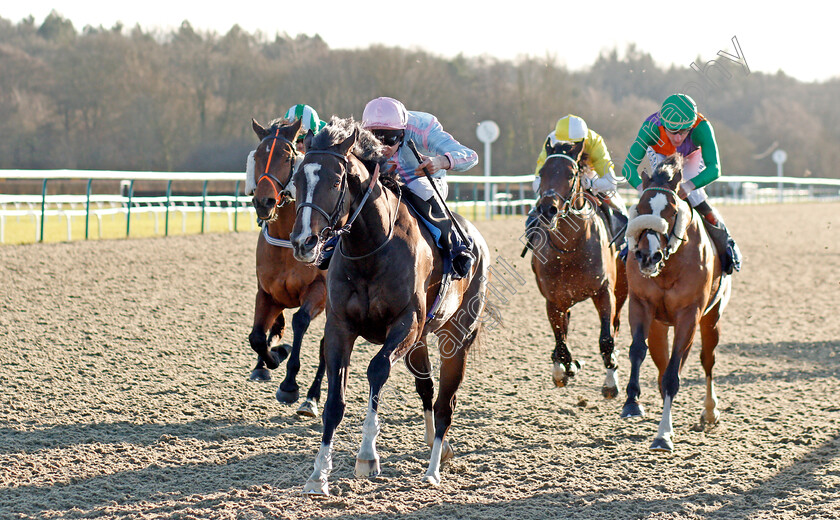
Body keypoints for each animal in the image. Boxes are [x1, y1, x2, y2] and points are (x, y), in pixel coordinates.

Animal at [244, 119, 326, 418]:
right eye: (257, 155)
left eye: (287, 157)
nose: (264, 201)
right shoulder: (267, 292)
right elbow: (257, 336)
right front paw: (272, 358)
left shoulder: (320, 290)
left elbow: (299, 321)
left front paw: (290, 385)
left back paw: (311, 398)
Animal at [290, 118, 492, 496]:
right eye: (296, 180)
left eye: (335, 182)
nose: (303, 242)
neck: (370, 248)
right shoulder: (340, 326)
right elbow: (334, 402)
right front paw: (318, 475)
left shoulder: (405, 323)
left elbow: (377, 369)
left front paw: (367, 455)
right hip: (421, 341)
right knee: (427, 389)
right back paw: (437, 447)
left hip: (456, 335)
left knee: (445, 403)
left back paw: (432, 470)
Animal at [528, 140, 628, 396]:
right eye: (542, 172)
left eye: (571, 174)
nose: (547, 209)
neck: (569, 248)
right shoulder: (553, 300)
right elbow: (561, 340)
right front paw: (564, 368)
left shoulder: (604, 292)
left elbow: (606, 339)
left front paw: (611, 381)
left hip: (622, 289)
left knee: (615, 324)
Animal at [620, 154, 732, 450]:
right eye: (640, 208)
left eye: (672, 212)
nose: (648, 256)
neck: (669, 267)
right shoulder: (640, 303)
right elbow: (637, 350)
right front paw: (632, 402)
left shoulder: (689, 314)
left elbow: (674, 374)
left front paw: (663, 434)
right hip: (660, 325)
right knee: (661, 360)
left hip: (711, 319)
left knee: (706, 360)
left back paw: (710, 412)